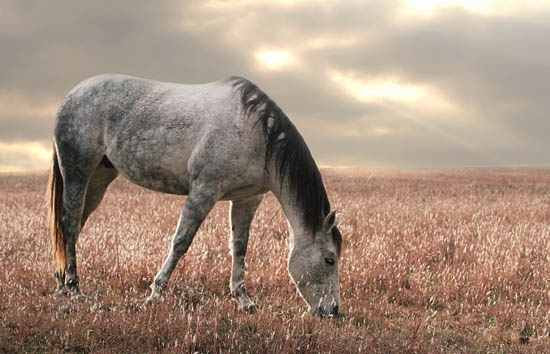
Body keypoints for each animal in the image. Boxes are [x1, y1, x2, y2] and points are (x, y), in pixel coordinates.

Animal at [47, 74, 342, 316]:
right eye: (330, 259)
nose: (333, 310)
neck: (256, 134)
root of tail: (73, 94)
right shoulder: (204, 190)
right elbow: (181, 242)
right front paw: (154, 295)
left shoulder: (247, 199)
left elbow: (239, 247)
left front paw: (244, 301)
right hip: (77, 171)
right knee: (70, 223)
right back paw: (74, 288)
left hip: (99, 178)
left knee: (73, 226)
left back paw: (62, 283)